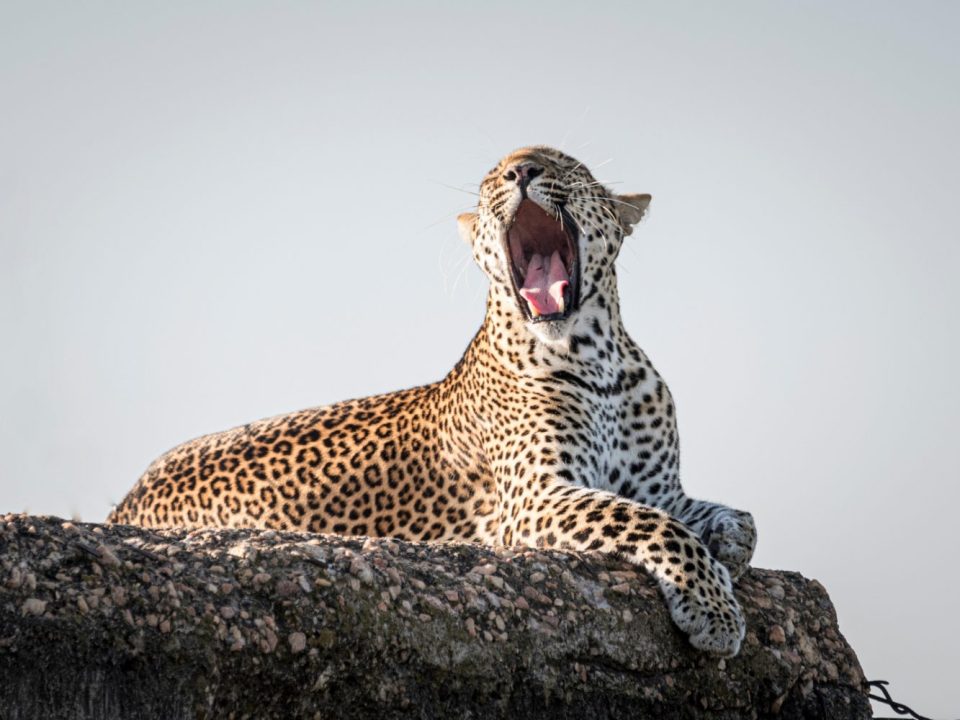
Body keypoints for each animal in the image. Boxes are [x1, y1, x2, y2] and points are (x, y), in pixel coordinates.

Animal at [109, 143, 756, 656]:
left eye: (565, 163)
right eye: (493, 175)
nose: (523, 170)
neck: (601, 361)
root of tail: (122, 506)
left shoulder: (659, 486)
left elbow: (734, 517)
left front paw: (729, 547)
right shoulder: (535, 494)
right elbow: (653, 524)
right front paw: (714, 609)